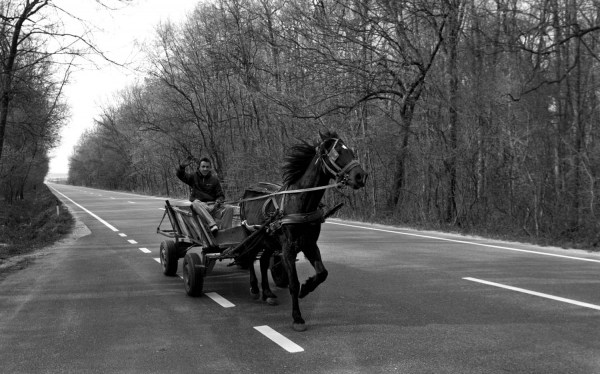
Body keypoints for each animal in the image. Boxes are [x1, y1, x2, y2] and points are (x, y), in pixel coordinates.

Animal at [238, 131, 366, 330]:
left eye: (351, 151)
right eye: (336, 152)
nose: (360, 176)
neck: (299, 202)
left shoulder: (309, 244)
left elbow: (322, 273)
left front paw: (306, 288)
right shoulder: (288, 248)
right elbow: (293, 283)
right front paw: (297, 317)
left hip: (269, 240)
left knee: (264, 261)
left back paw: (268, 293)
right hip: (251, 235)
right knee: (251, 258)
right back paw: (254, 288)